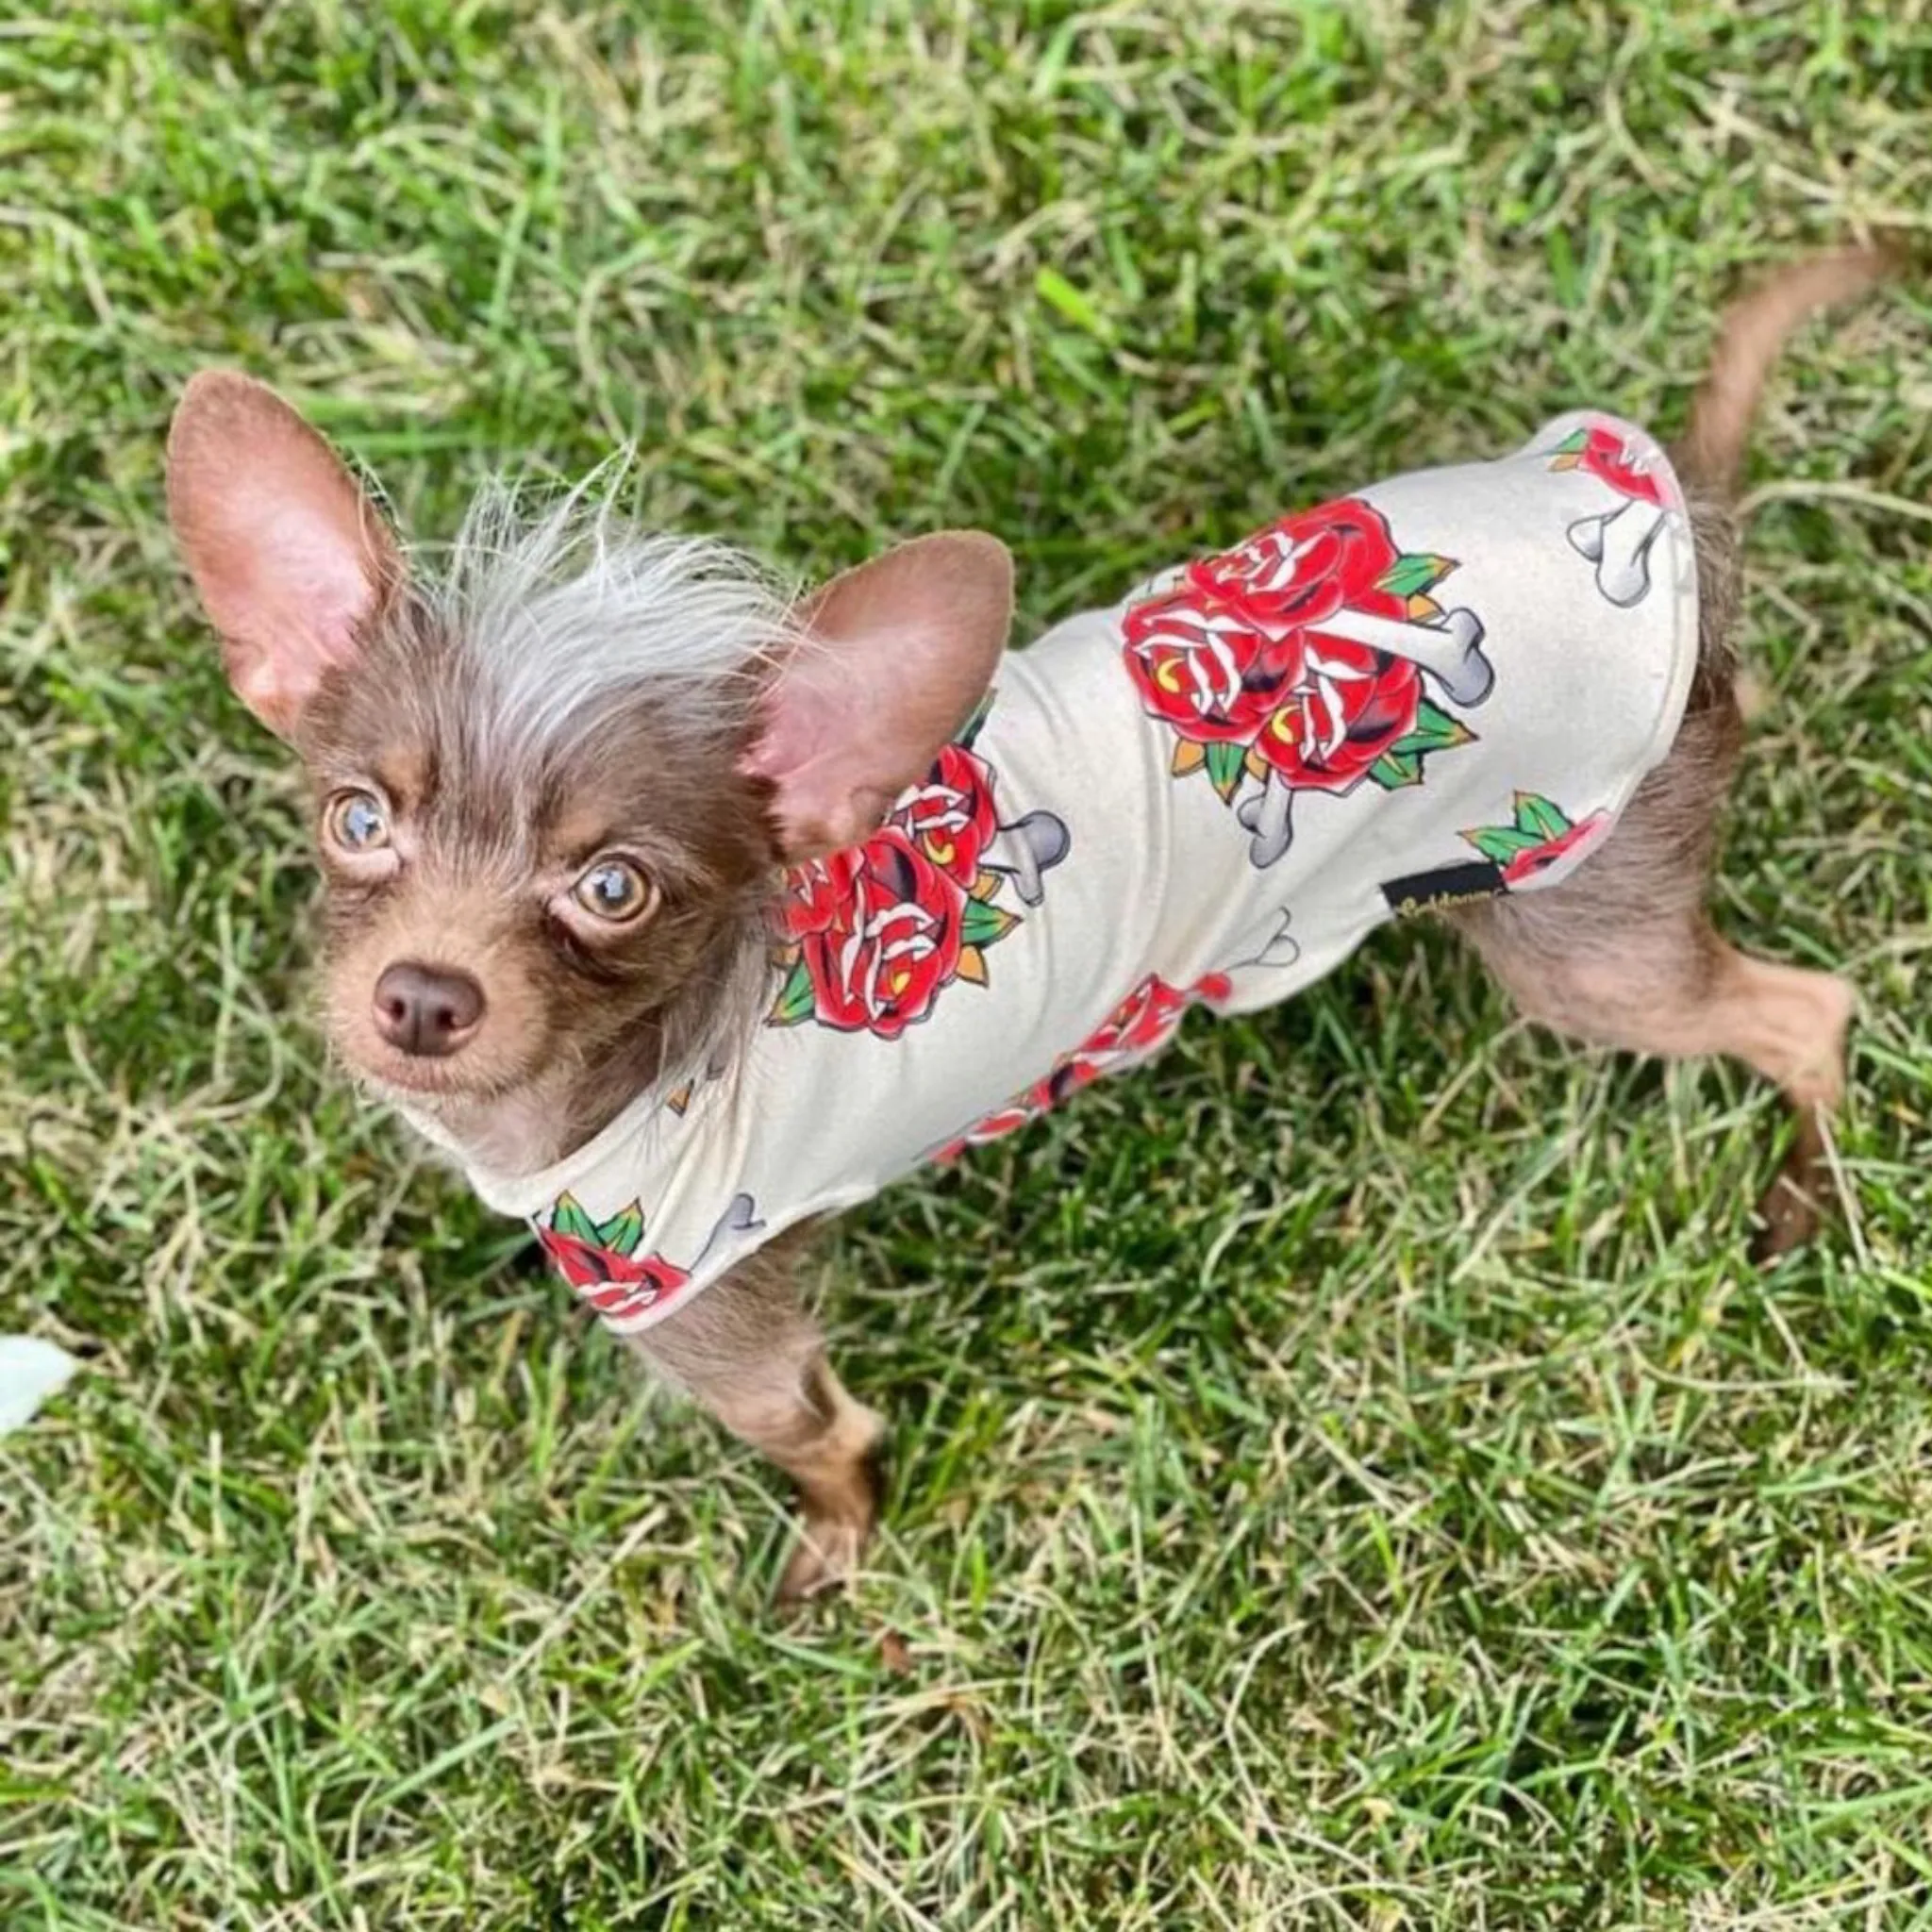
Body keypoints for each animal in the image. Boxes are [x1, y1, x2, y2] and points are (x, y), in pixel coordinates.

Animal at [166, 245, 1885, 1599]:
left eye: (612, 888)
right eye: (357, 821)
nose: (421, 997)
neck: (609, 1083)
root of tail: (1667, 516)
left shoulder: (718, 1328)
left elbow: (824, 1441)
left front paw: (841, 1550)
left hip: (1581, 943)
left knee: (1815, 1010)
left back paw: (1804, 1194)